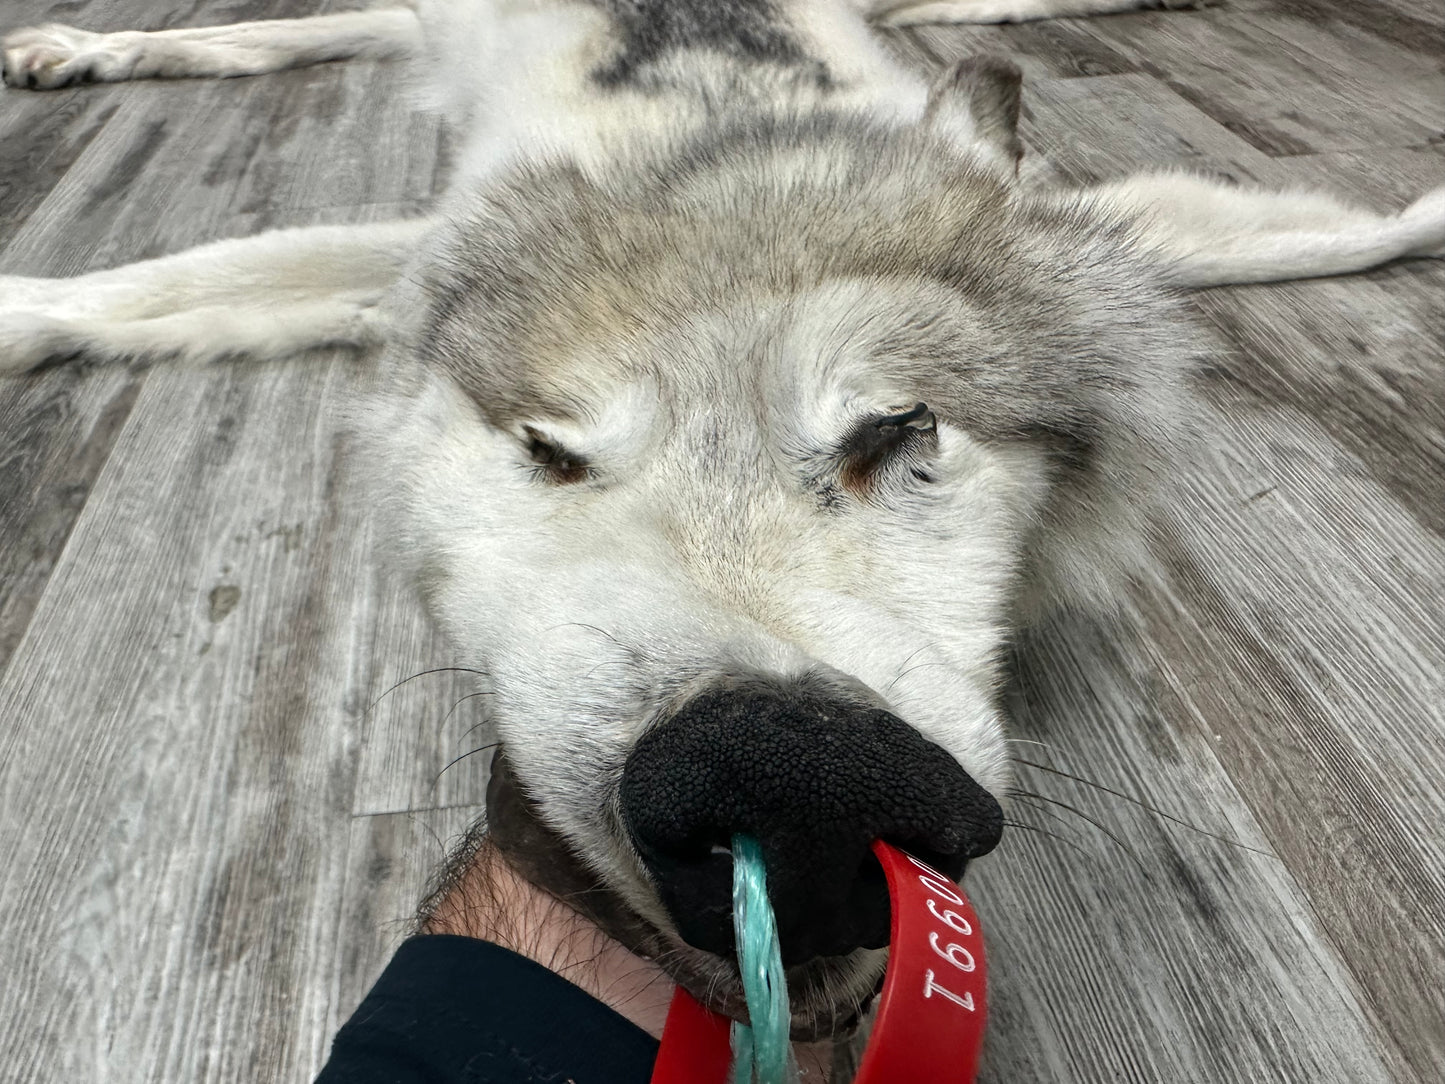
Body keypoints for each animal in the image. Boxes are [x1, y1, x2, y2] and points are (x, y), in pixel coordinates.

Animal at [2, 0, 1442, 1047]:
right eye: (550, 449)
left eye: (898, 430)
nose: (794, 787)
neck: (724, 138)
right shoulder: (406, 248)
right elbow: (163, 281)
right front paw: (25, 307)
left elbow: (1331, 231)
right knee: (298, 28)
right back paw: (85, 46)